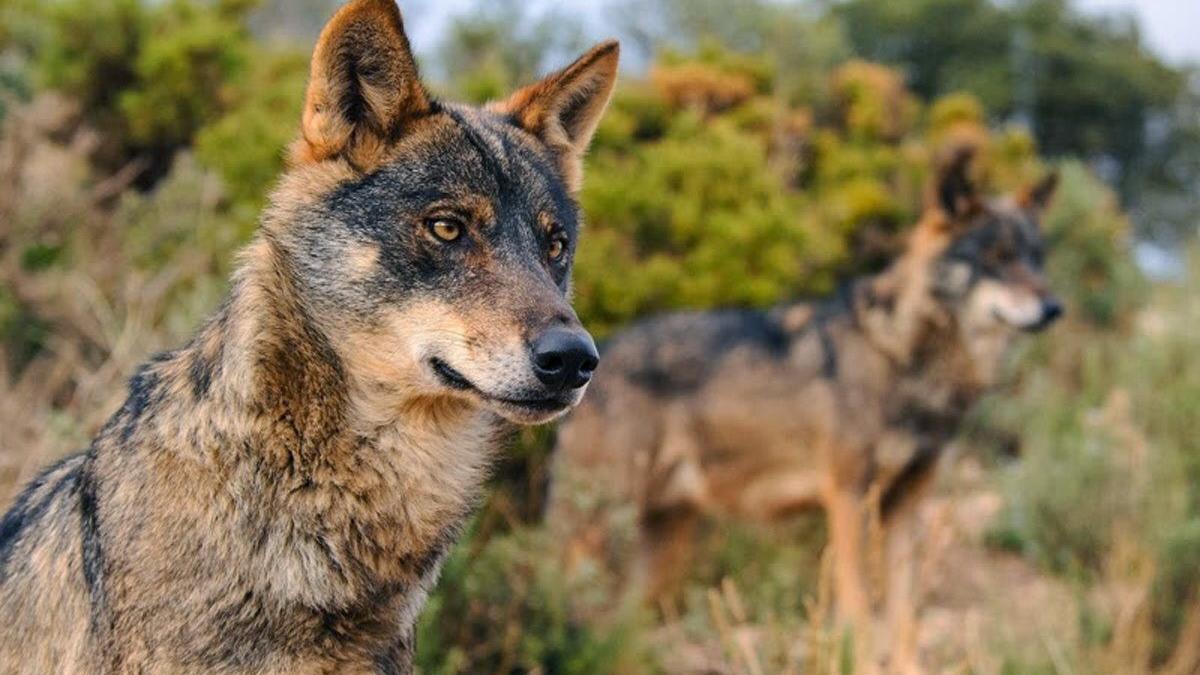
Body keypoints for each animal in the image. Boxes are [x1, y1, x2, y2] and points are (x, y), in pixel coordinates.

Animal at [549, 147, 1065, 667]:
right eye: (996, 258)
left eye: (1036, 259)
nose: (1054, 308)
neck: (903, 356)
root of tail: (595, 357)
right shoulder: (848, 497)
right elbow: (859, 611)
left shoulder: (906, 506)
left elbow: (904, 615)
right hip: (598, 532)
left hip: (660, 546)